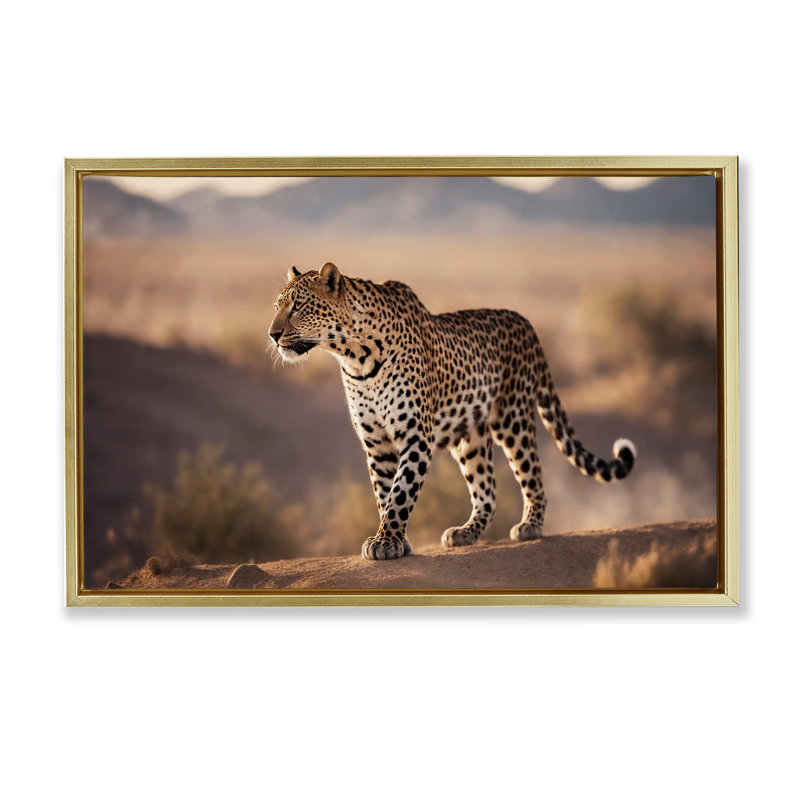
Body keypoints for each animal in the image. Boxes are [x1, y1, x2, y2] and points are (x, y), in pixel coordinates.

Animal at [269, 262, 636, 561]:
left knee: (532, 473)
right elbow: (384, 492)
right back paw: (466, 532)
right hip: (470, 438)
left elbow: (401, 492)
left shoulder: (416, 435)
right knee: (487, 490)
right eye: (277, 306)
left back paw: (530, 526)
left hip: (513, 418)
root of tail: (526, 323)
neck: (353, 356)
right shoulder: (377, 443)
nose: (272, 334)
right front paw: (395, 541)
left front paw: (386, 542)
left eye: (298, 306)